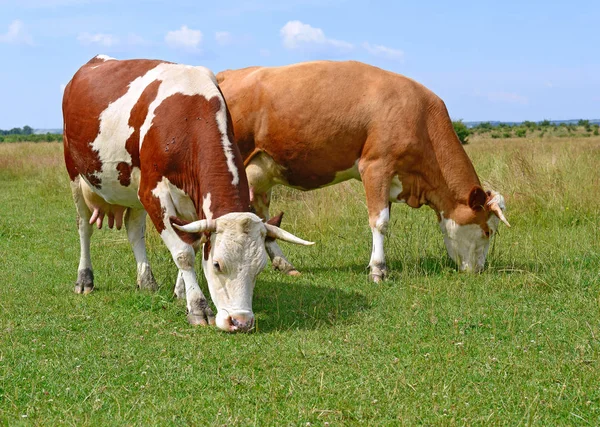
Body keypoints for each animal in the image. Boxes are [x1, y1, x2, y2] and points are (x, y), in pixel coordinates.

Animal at [62, 55, 314, 332]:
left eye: (259, 269)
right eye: (217, 264)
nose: (241, 322)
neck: (189, 117)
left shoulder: (192, 204)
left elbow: (191, 244)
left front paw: (181, 292)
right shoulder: (152, 192)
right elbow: (183, 253)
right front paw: (197, 307)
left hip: (131, 188)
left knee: (134, 230)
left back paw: (146, 281)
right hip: (75, 173)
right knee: (84, 227)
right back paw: (84, 279)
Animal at [216, 59, 506, 280]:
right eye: (487, 231)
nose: (479, 270)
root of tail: (226, 73)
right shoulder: (376, 166)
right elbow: (380, 222)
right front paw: (378, 270)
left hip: (260, 175)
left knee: (263, 220)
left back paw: (285, 265)